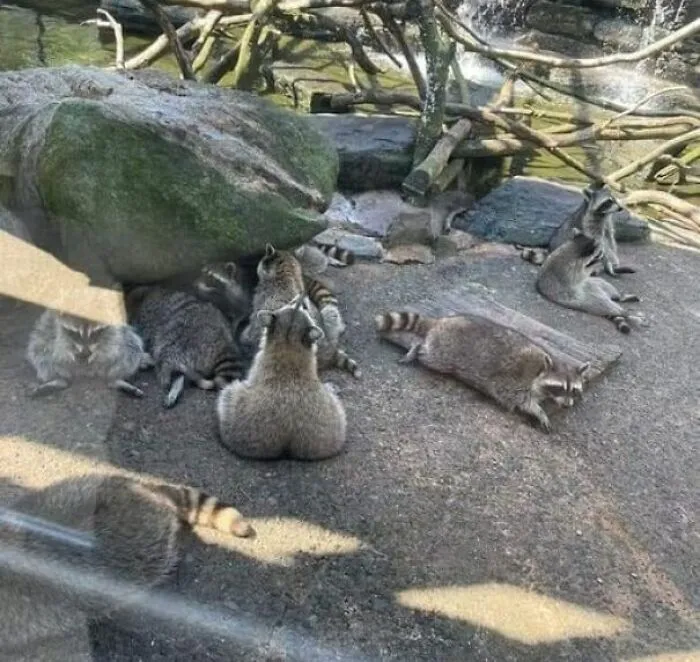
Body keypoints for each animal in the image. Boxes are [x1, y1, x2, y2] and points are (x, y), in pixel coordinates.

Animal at [217, 296, 347, 460]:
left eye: (303, 307)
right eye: (293, 304)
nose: (301, 296)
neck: (288, 342)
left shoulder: (258, 364)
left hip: (234, 410)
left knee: (227, 394)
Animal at [376, 311, 589, 432]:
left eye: (574, 390)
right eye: (559, 387)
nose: (568, 406)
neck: (541, 370)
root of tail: (442, 321)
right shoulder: (514, 381)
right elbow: (519, 400)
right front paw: (539, 411)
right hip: (445, 351)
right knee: (429, 354)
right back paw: (417, 347)